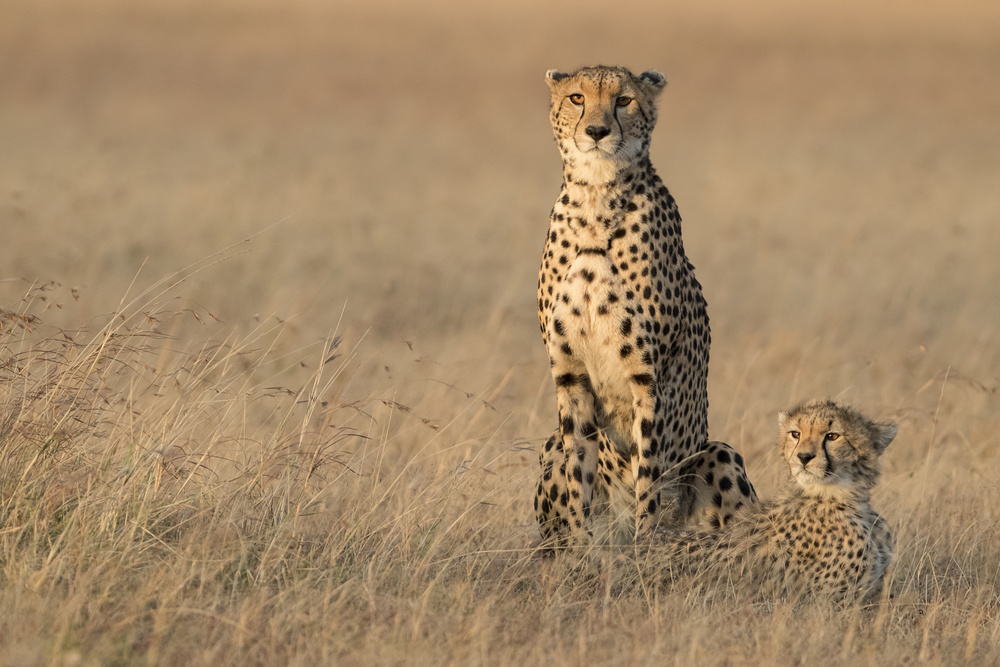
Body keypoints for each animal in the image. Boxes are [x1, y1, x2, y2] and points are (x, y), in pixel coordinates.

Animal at [533, 65, 754, 547]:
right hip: (548, 445)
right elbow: (578, 471)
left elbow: (648, 473)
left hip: (718, 451)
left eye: (624, 100)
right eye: (577, 98)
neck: (595, 201)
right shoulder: (569, 374)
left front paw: (643, 543)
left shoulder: (647, 377)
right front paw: (582, 546)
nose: (597, 131)